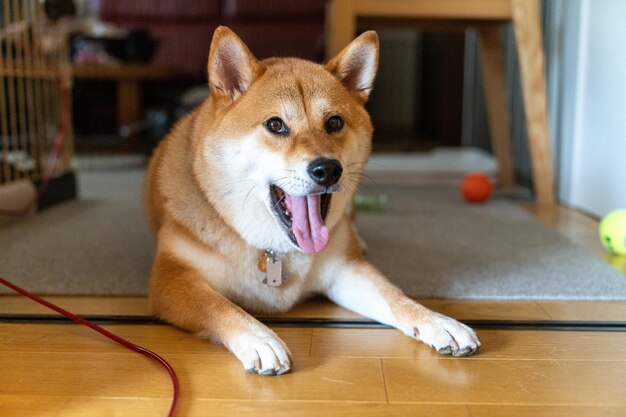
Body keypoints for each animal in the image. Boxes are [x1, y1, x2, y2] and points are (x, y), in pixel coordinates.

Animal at [145, 27, 478, 376]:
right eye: (275, 125)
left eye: (334, 123)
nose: (328, 169)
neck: (276, 251)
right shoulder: (173, 279)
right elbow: (219, 305)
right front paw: (258, 338)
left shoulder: (345, 269)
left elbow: (394, 296)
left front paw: (437, 321)